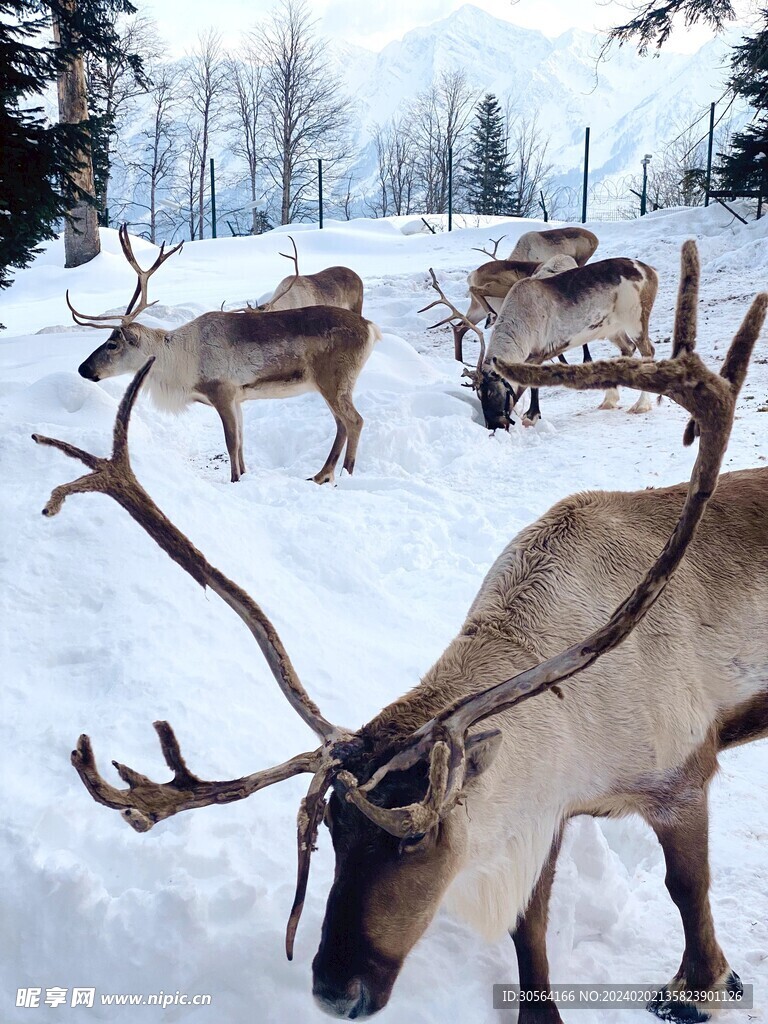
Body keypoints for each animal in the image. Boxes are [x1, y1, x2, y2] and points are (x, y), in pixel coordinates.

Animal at [73, 226, 381, 484]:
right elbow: (242, 441)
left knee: (354, 421)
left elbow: (231, 442)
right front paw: (244, 474)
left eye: (113, 344)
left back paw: (341, 473)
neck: (180, 362)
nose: (83, 369)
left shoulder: (222, 391)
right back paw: (323, 474)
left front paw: (234, 480)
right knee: (342, 424)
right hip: (332, 384)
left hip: (334, 380)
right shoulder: (239, 398)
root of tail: (370, 328)